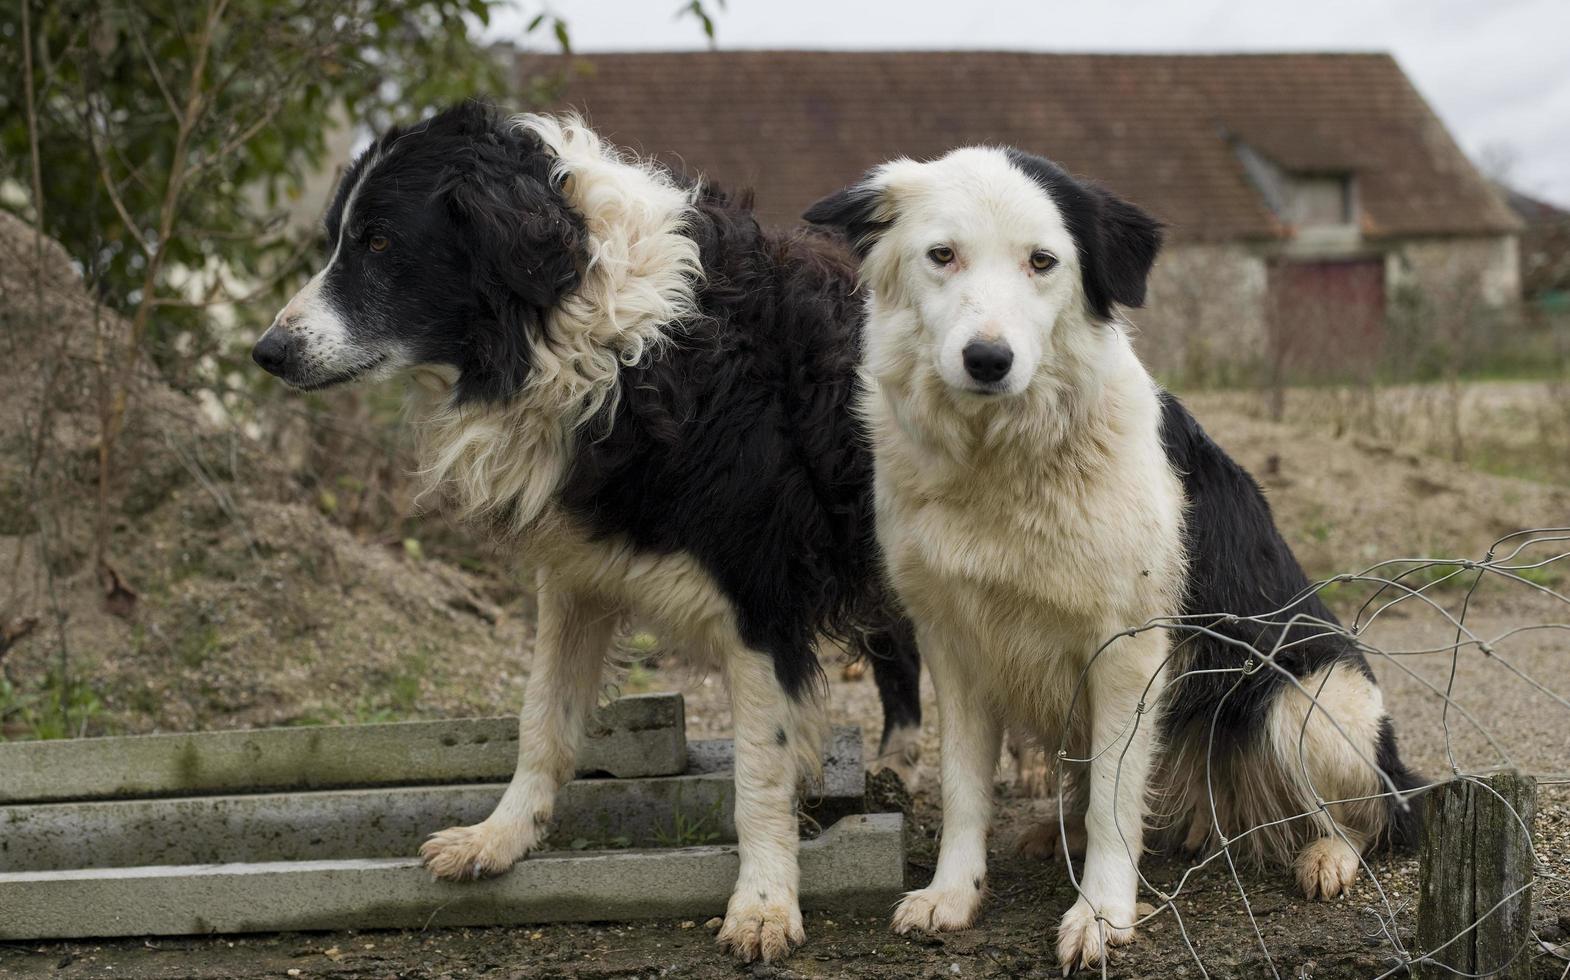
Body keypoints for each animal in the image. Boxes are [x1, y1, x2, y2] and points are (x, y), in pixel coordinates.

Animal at [251, 103, 923, 961]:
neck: (596, 334)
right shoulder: (577, 572)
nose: (266, 351)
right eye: (342, 237)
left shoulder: (762, 590)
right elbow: (543, 718)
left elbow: (758, 771)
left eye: (377, 242)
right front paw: (500, 838)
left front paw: (765, 904)